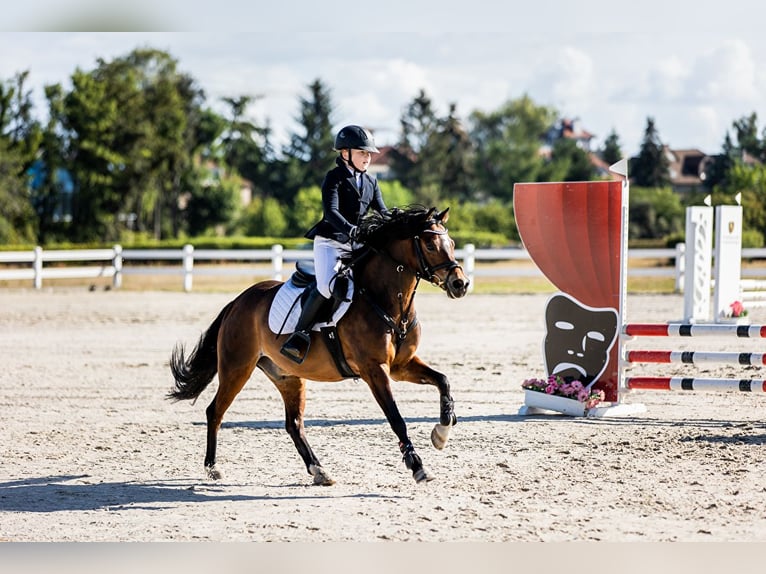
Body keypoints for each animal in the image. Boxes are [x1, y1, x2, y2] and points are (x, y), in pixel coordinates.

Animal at [166, 207, 474, 486]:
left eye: (452, 244)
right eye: (431, 244)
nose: (460, 284)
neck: (388, 302)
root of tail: (238, 301)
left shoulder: (401, 366)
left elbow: (443, 381)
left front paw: (441, 433)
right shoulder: (375, 370)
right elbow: (396, 418)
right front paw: (417, 465)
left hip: (288, 377)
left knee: (294, 424)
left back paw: (319, 470)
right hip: (236, 368)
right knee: (215, 411)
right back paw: (212, 468)